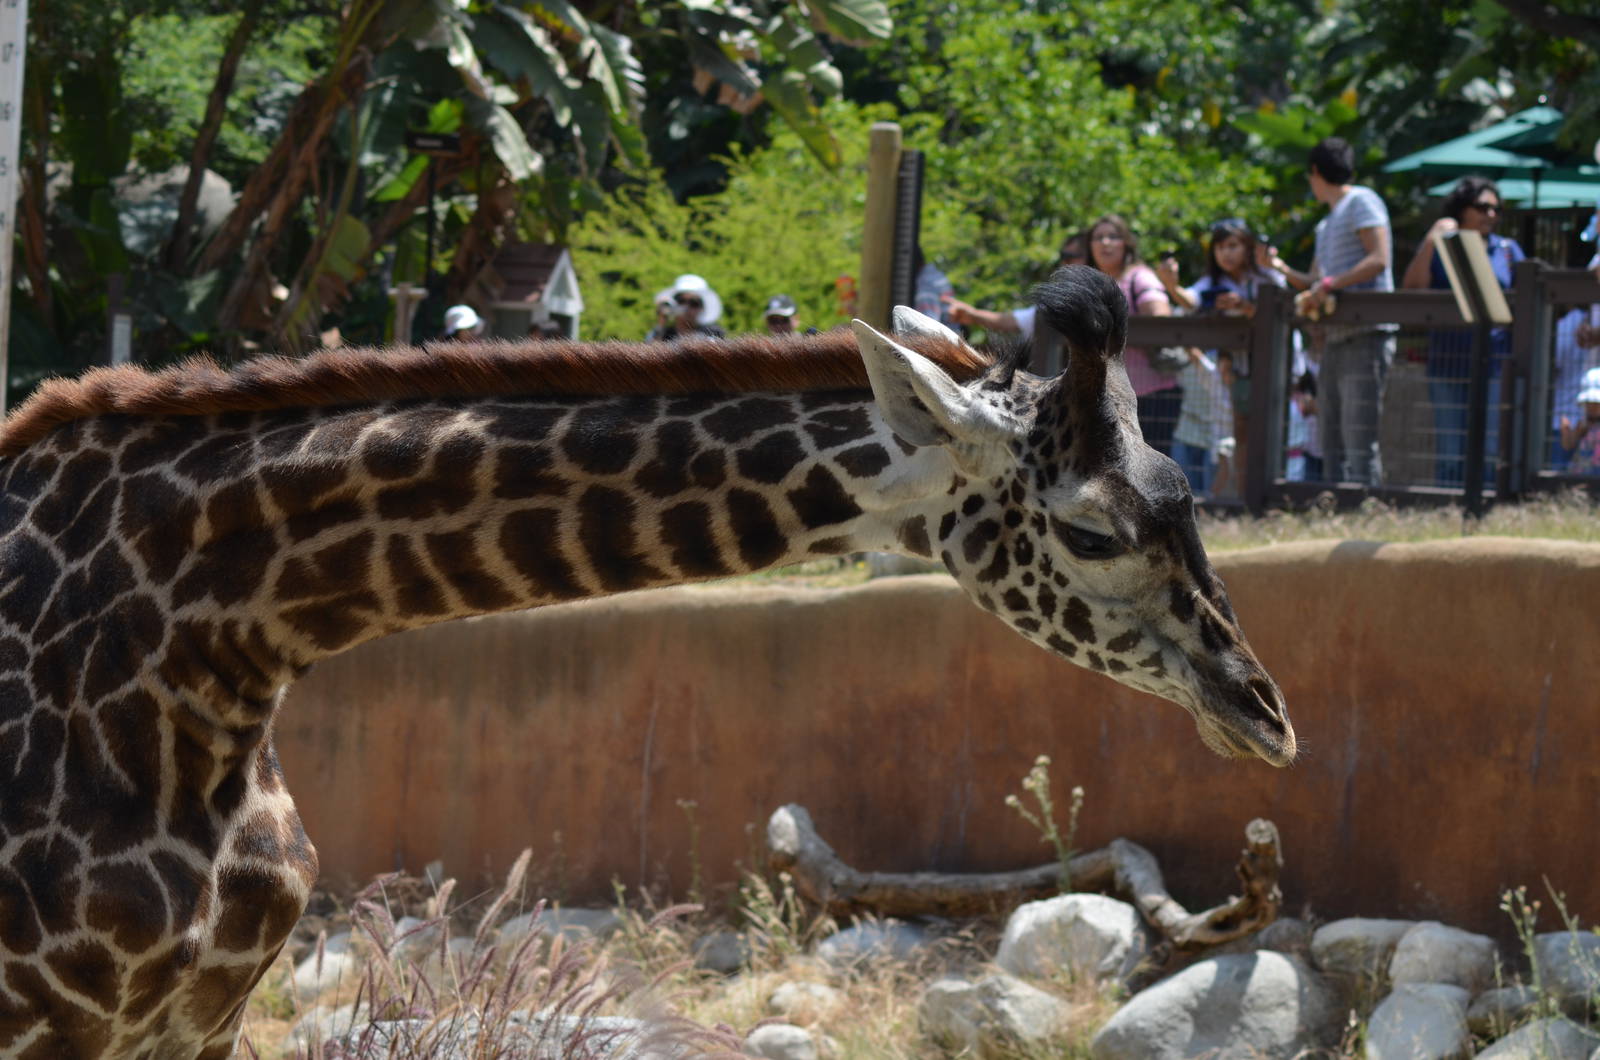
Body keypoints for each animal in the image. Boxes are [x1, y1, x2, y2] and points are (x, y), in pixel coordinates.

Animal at [0, 265, 1292, 1057]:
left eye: (1185, 493)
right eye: (1092, 533)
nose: (1265, 711)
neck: (197, 656)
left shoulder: (199, 1016)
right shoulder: (59, 1021)